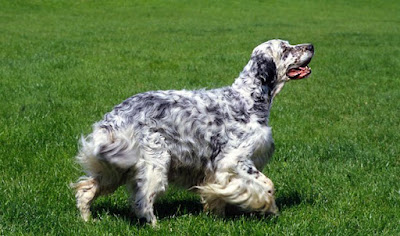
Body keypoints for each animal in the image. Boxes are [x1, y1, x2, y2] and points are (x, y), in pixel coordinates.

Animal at [72, 38, 316, 225]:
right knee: (143, 199)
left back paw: (87, 220)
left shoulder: (219, 169)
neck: (248, 100)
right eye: (285, 49)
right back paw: (156, 225)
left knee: (86, 189)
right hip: (155, 161)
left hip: (115, 166)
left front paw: (216, 213)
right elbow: (267, 185)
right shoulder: (234, 161)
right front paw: (268, 207)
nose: (311, 45)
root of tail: (114, 115)